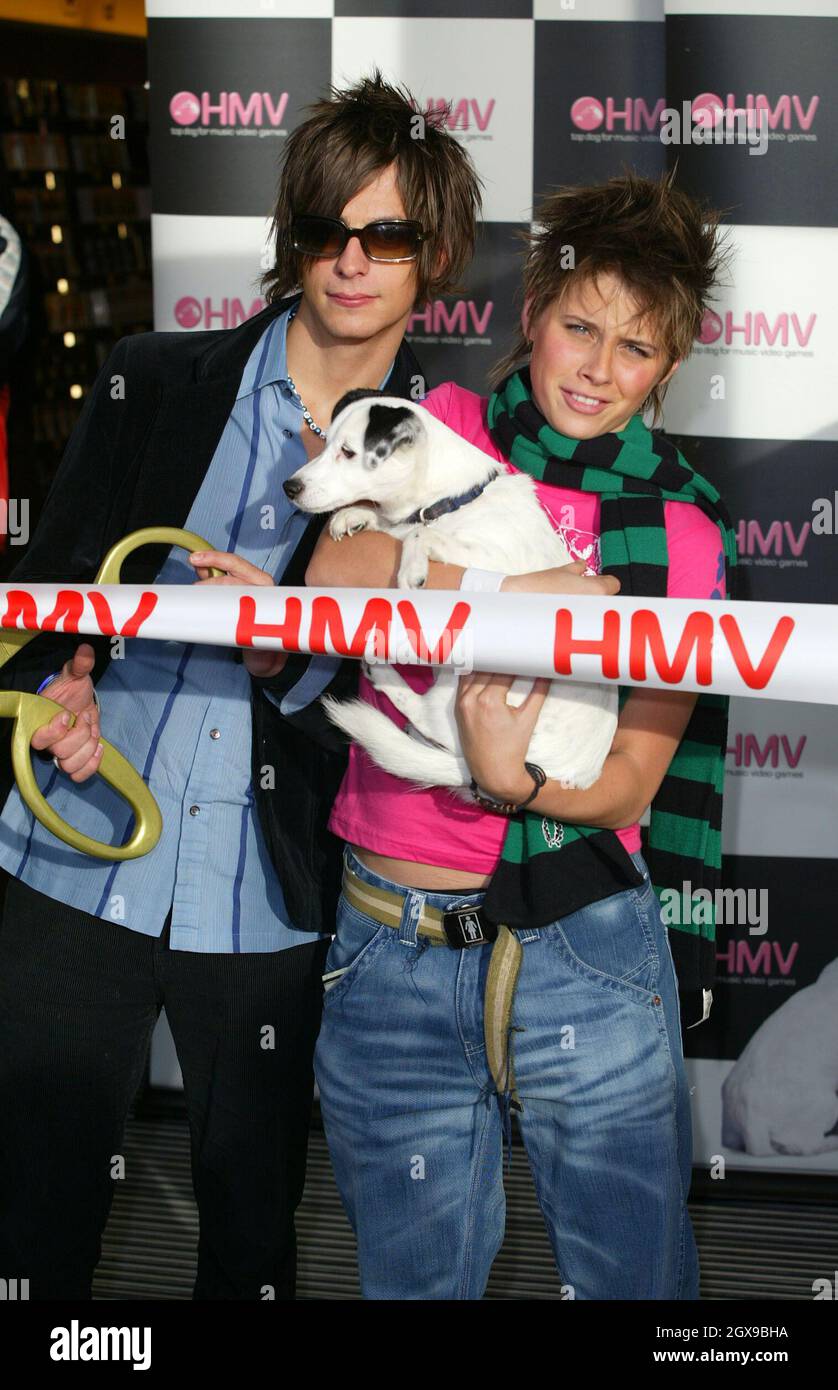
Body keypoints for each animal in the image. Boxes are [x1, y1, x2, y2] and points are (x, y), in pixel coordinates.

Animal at [284, 397, 619, 800]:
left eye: (347, 452)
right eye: (326, 443)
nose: (289, 487)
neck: (452, 501)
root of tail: (569, 770)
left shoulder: (495, 561)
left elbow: (421, 537)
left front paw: (411, 566)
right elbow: (398, 526)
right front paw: (356, 516)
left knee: (429, 715)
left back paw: (385, 670)